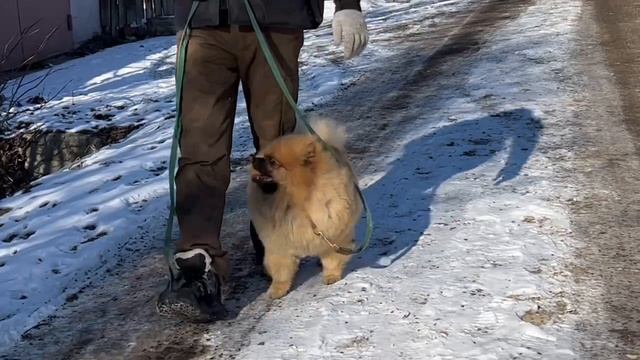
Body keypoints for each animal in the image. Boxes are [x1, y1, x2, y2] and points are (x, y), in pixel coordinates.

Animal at [248, 119, 362, 300]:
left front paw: (331, 276)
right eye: (264, 157)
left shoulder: (334, 233)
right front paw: (277, 290)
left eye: (273, 162)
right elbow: (281, 271)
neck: (294, 203)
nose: (253, 159)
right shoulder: (278, 246)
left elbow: (332, 259)